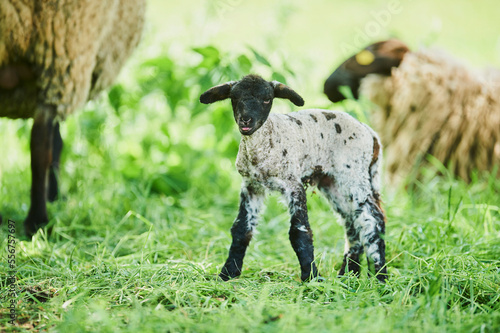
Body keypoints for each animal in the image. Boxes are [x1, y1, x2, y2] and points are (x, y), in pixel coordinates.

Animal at [0, 0, 146, 236]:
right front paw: (39, 220)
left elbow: (54, 143)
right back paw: (38, 220)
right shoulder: (66, 52)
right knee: (41, 148)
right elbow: (44, 150)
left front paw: (54, 199)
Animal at [199, 74, 386, 282]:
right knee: (352, 222)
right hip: (333, 183)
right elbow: (241, 229)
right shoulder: (251, 186)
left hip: (353, 175)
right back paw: (348, 275)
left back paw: (379, 276)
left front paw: (311, 277)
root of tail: (371, 133)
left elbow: (299, 232)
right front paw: (228, 273)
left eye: (267, 99)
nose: (245, 121)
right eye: (234, 98)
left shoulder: (293, 184)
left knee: (373, 219)